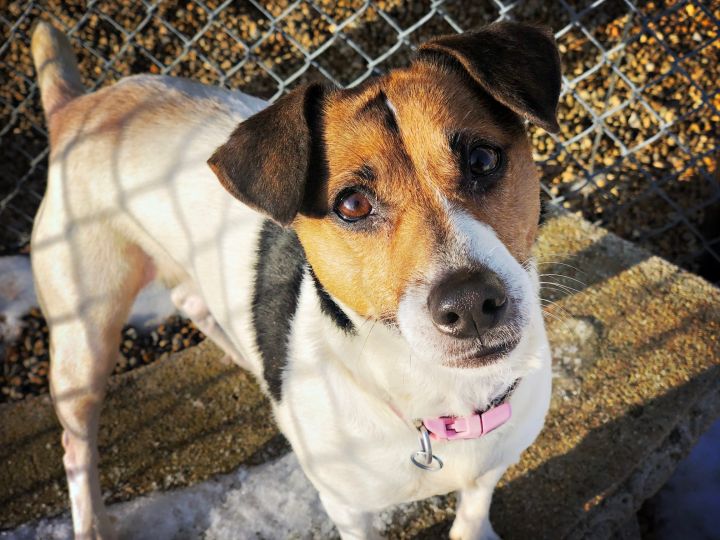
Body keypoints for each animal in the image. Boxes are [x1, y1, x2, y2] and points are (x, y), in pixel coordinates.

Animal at [29, 18, 560, 539]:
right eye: (352, 204)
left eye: (483, 160)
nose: (470, 304)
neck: (444, 400)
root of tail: (78, 107)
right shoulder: (347, 506)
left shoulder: (492, 466)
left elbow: (471, 513)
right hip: (84, 339)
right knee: (75, 444)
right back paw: (92, 523)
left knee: (190, 299)